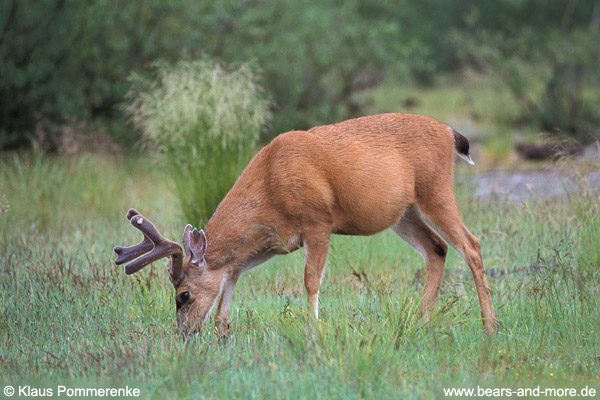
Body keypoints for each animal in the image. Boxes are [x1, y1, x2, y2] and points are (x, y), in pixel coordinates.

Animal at [112, 112, 496, 334]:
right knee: (438, 249)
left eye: (184, 295)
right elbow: (232, 274)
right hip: (404, 212)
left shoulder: (318, 221)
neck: (271, 184)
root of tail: (449, 131)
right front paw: (223, 328)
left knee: (472, 245)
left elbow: (311, 282)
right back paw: (421, 322)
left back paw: (489, 326)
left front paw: (315, 329)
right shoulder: (273, 242)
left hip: (435, 189)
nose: (184, 333)